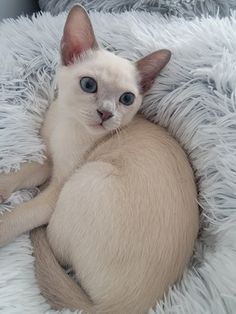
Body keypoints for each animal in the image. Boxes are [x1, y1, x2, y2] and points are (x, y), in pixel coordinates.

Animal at [0, 4, 199, 314]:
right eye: (88, 84)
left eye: (127, 99)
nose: (106, 113)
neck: (66, 125)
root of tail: (118, 307)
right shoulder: (49, 158)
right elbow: (23, 171)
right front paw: (2, 187)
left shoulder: (58, 186)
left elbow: (18, 216)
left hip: (89, 176)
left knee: (51, 243)